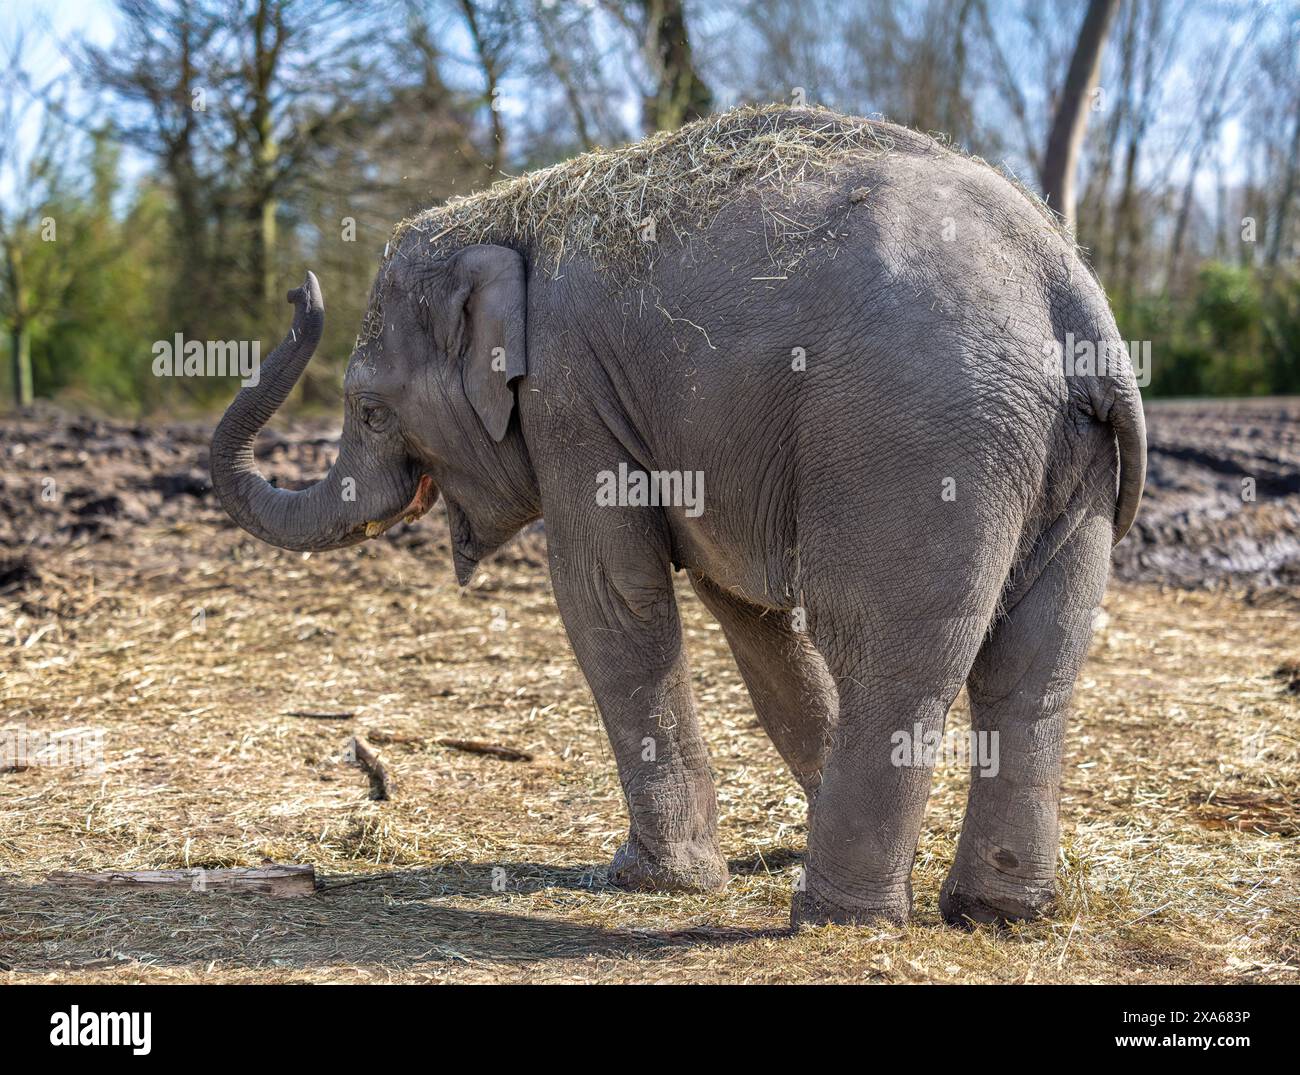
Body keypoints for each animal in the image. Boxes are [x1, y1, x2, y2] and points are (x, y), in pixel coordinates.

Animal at [211, 106, 1146, 928]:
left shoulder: (570, 395)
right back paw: (998, 912)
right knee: (1035, 664)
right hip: (1070, 461)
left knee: (889, 652)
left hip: (919, 436)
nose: (298, 286)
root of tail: (1065, 285)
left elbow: (610, 595)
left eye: (369, 409)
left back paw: (837, 917)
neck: (506, 210)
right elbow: (750, 616)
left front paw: (653, 880)